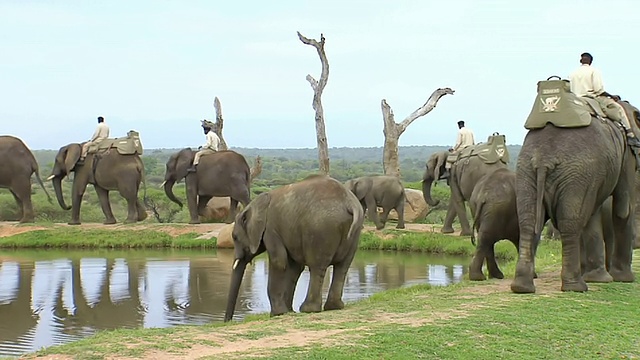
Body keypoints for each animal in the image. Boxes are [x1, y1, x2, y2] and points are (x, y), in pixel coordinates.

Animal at [225, 174, 364, 320]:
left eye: (235, 237)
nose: (228, 321)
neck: (255, 204)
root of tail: (349, 202)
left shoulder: (271, 229)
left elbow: (279, 262)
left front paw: (277, 314)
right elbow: (294, 267)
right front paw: (288, 311)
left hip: (320, 229)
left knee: (317, 266)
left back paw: (309, 309)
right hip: (354, 232)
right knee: (343, 266)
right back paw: (334, 307)